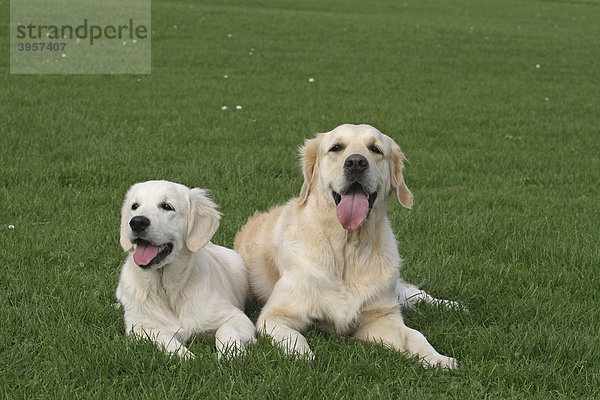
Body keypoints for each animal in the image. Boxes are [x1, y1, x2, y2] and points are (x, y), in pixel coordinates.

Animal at [116, 181, 255, 360]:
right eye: (135, 206)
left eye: (167, 206)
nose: (137, 222)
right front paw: (184, 355)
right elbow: (162, 335)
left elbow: (226, 329)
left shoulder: (238, 318)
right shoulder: (138, 328)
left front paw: (231, 354)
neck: (168, 291)